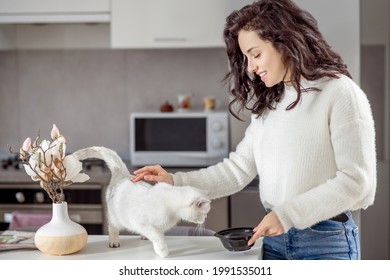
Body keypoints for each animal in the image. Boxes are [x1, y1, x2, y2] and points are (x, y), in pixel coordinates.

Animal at [71, 147, 212, 258]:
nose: (205, 218)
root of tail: (122, 174)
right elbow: (158, 237)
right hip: (115, 218)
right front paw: (163, 252)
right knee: (113, 228)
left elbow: (158, 235)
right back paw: (114, 242)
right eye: (204, 213)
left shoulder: (156, 227)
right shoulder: (143, 224)